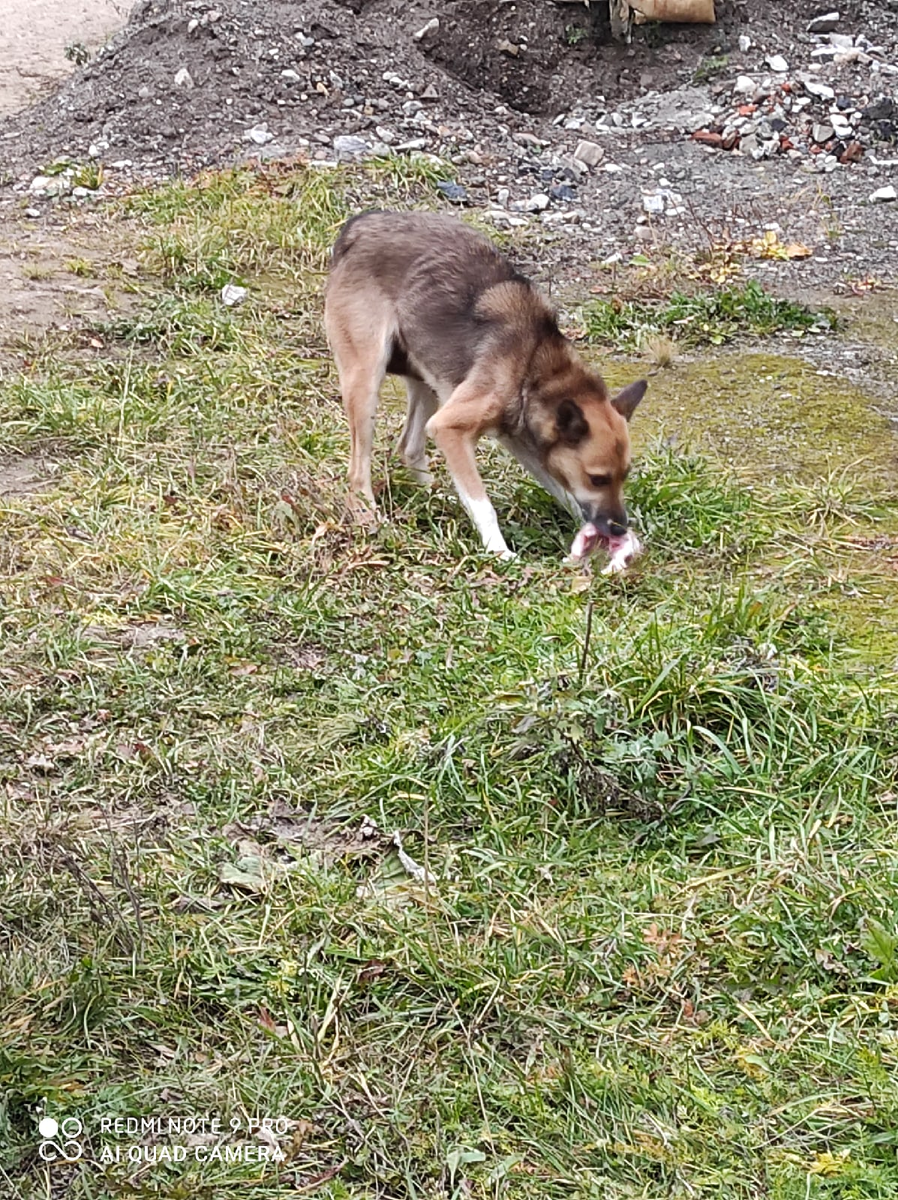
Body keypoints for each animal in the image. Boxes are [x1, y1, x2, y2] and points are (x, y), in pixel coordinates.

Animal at [321, 208, 643, 559]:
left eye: (625, 475)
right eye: (598, 479)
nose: (620, 528)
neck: (535, 368)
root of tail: (359, 225)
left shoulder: (525, 443)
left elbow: (565, 492)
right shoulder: (450, 427)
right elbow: (484, 505)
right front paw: (499, 551)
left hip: (427, 379)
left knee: (409, 447)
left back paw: (437, 497)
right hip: (367, 381)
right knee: (358, 474)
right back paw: (371, 519)